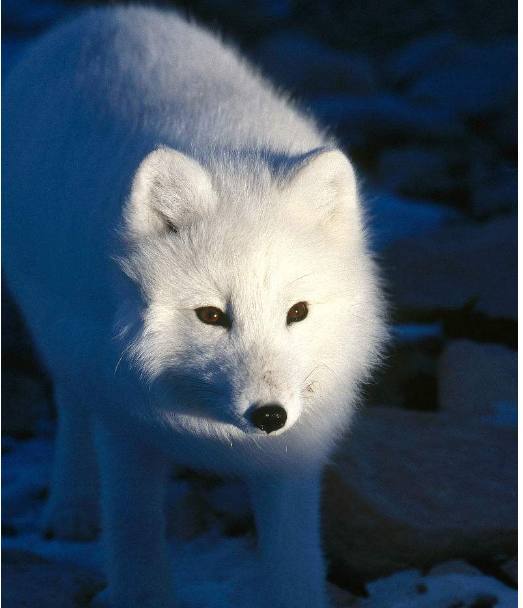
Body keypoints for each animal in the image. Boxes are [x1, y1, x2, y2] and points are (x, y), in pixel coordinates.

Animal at [4, 5, 386, 608]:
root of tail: (102, 16)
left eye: (297, 312)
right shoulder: (126, 429)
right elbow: (135, 539)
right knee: (71, 404)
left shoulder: (293, 459)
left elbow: (294, 566)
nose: (269, 416)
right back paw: (72, 506)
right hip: (57, 338)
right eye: (211, 315)